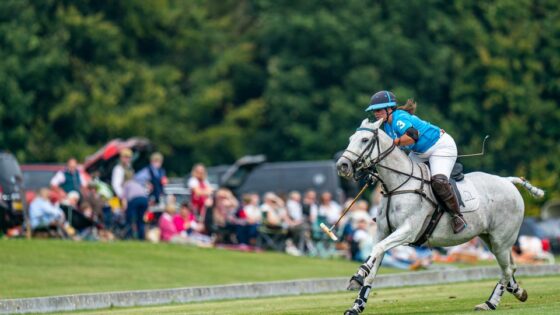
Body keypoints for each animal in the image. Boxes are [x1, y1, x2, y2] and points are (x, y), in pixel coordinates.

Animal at [334, 117, 544, 314]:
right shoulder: (382, 232)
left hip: (502, 239)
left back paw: (490, 303)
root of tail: (508, 181)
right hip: (490, 238)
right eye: (351, 139)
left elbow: (376, 250)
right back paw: (517, 292)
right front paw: (356, 305)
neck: (398, 185)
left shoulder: (407, 231)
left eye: (364, 139)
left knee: (506, 269)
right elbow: (374, 261)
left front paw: (357, 276)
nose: (342, 165)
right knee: (510, 267)